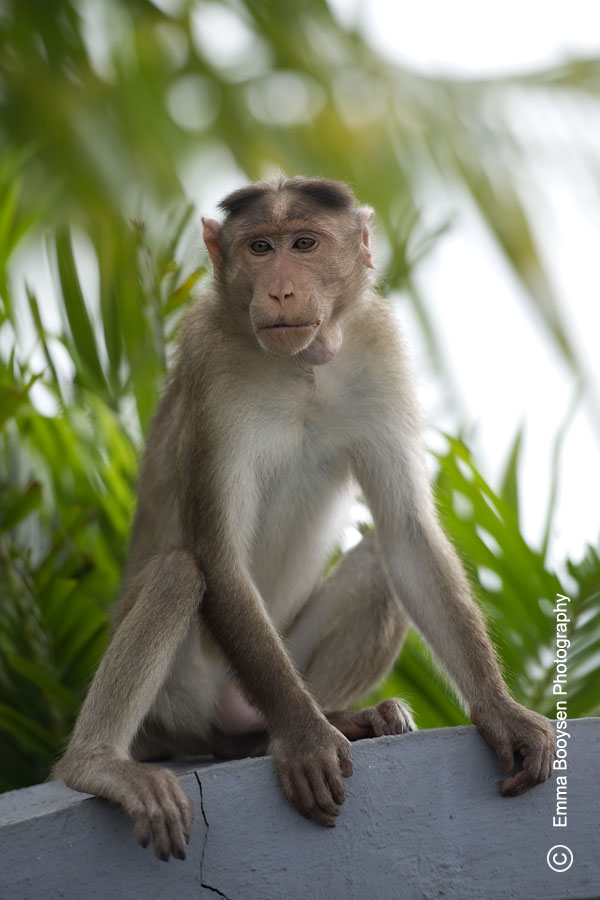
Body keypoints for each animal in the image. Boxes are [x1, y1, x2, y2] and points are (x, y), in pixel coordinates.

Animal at [55, 176, 555, 862]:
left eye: (304, 244)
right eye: (260, 247)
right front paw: (306, 740)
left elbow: (406, 535)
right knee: (181, 573)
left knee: (378, 562)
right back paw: (103, 764)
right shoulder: (210, 365)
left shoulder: (379, 347)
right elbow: (218, 558)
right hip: (189, 699)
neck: (303, 366)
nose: (281, 289)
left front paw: (501, 712)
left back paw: (335, 721)